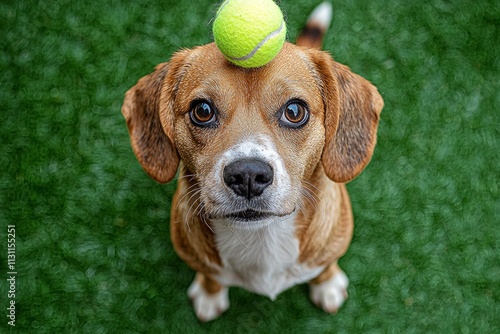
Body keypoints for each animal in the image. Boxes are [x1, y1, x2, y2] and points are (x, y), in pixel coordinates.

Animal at [121, 1, 382, 320]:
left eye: (295, 111)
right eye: (202, 110)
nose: (247, 175)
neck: (261, 239)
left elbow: (325, 266)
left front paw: (327, 285)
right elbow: (211, 277)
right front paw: (209, 295)